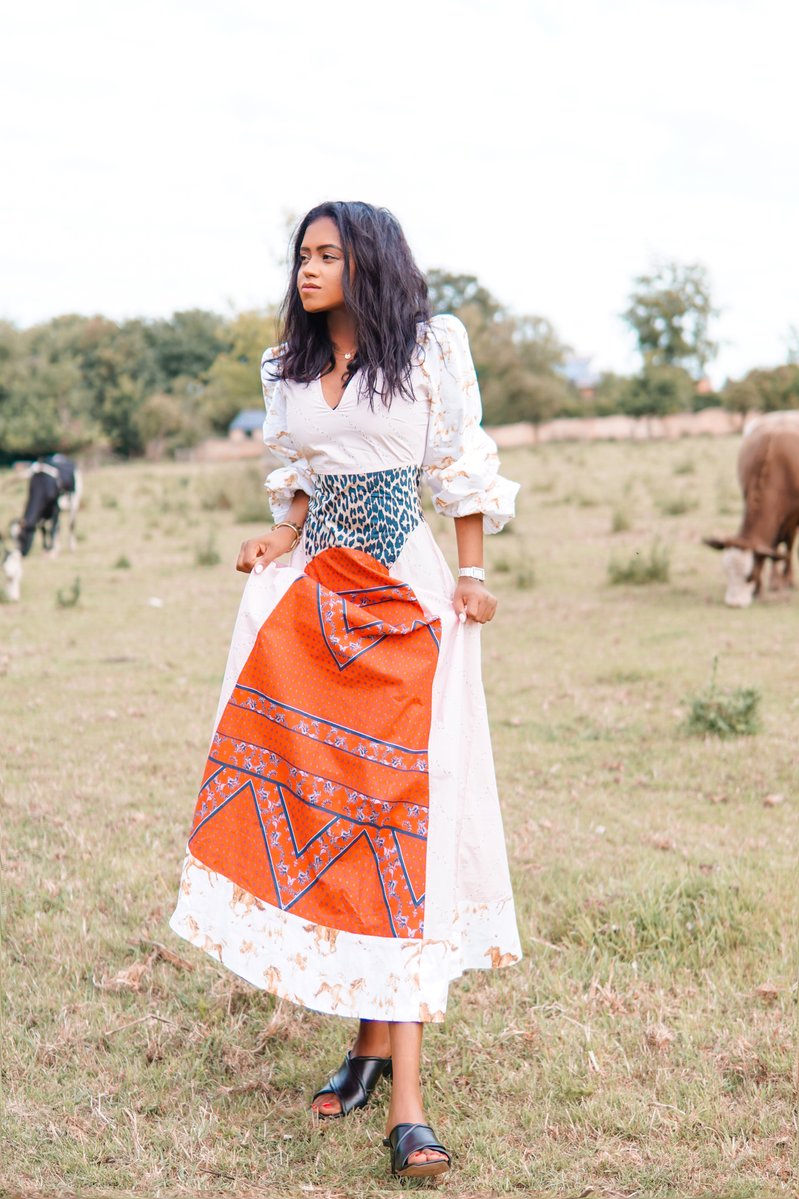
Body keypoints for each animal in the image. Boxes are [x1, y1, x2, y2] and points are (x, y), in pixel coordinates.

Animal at [705, 424, 796, 609]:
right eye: (727, 572)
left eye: (750, 575)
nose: (734, 604)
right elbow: (771, 548)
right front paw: (767, 585)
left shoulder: (793, 517)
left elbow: (788, 547)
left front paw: (787, 579)